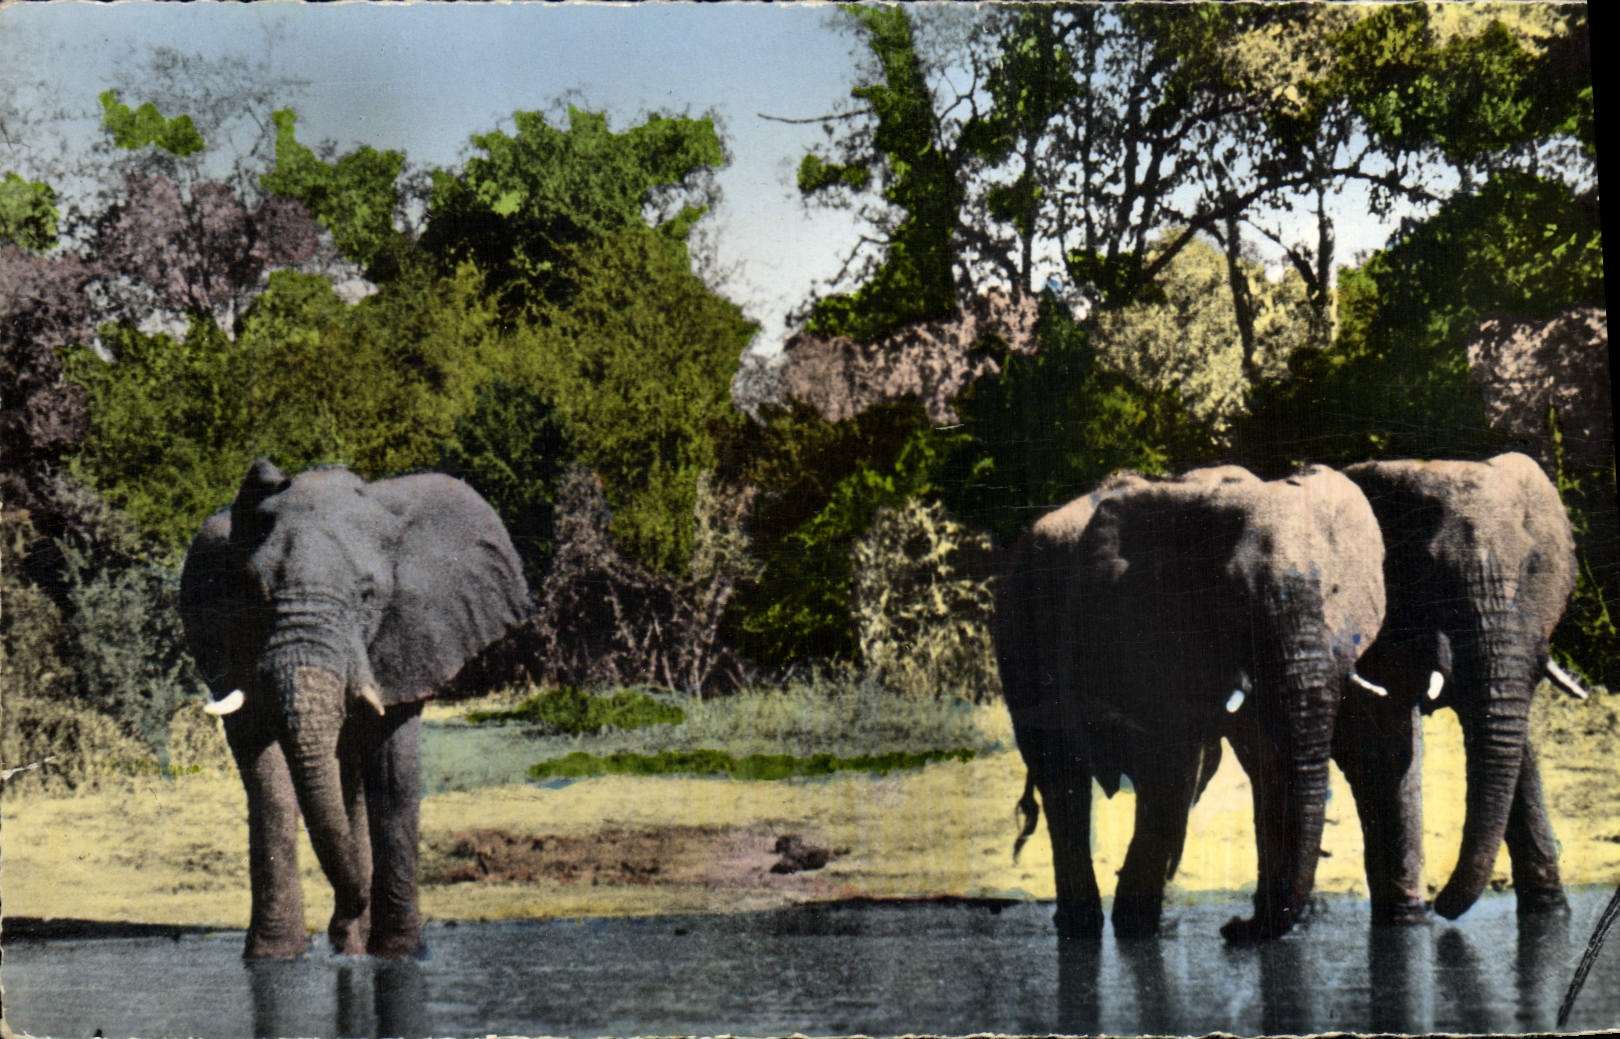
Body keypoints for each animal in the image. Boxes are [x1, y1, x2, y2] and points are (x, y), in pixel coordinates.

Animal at [179, 459, 529, 959]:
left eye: (367, 595)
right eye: (258, 594)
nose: (343, 915)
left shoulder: (412, 635)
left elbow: (392, 775)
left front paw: (400, 954)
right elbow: (266, 777)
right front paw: (273, 957)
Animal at [995, 464, 1385, 941]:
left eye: (1334, 591)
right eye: (1235, 598)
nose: (1233, 926)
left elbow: (1265, 761)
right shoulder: (1151, 629)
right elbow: (1170, 764)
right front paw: (1139, 928)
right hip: (1018, 629)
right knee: (1059, 770)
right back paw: (1085, 927)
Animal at [1334, 452, 1580, 924]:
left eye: (1533, 567)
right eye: (1431, 573)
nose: (1440, 905)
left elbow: (1514, 744)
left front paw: (1550, 916)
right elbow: (1389, 745)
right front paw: (1407, 923)